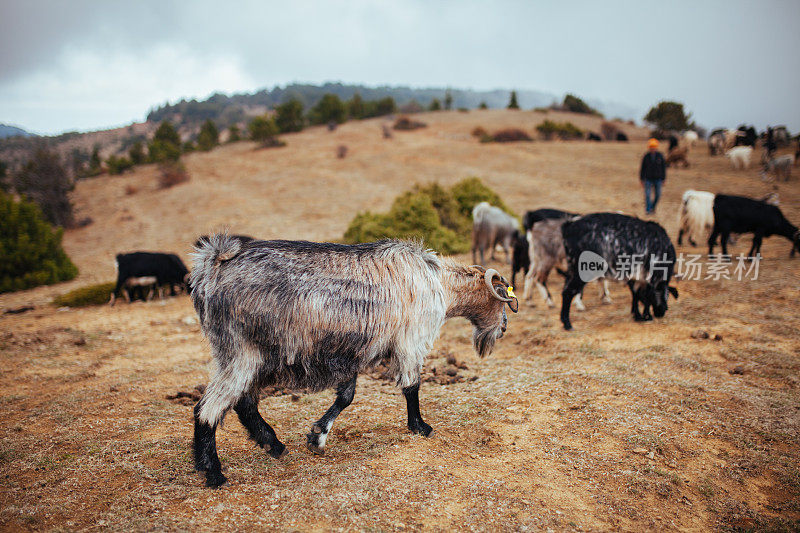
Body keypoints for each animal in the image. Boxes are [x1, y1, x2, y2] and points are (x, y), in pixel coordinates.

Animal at [191, 235, 520, 488]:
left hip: (250, 356)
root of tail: (212, 266)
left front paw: (317, 436)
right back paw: (214, 472)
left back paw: (273, 444)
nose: (504, 328)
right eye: (501, 297)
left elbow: (346, 397)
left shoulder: (352, 353)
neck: (437, 281)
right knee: (208, 408)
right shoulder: (410, 341)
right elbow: (411, 386)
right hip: (242, 352)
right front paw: (420, 427)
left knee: (243, 402)